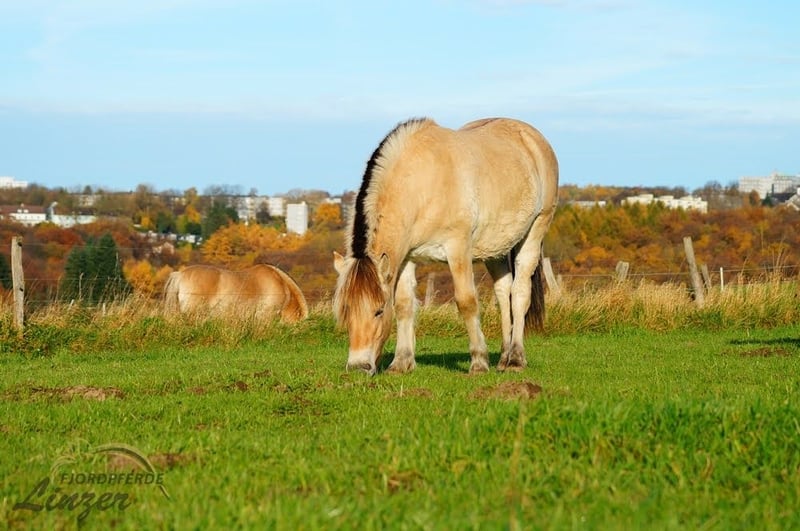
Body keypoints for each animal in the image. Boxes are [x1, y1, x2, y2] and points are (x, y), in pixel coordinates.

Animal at [333, 117, 558, 375]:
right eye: (345, 310)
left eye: (379, 310)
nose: (358, 367)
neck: (421, 184)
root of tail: (532, 137)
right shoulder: (406, 257)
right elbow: (404, 305)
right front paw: (401, 363)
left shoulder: (458, 249)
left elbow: (467, 302)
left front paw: (478, 362)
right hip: (496, 250)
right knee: (504, 292)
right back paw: (504, 357)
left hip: (536, 229)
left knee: (520, 292)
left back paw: (516, 359)